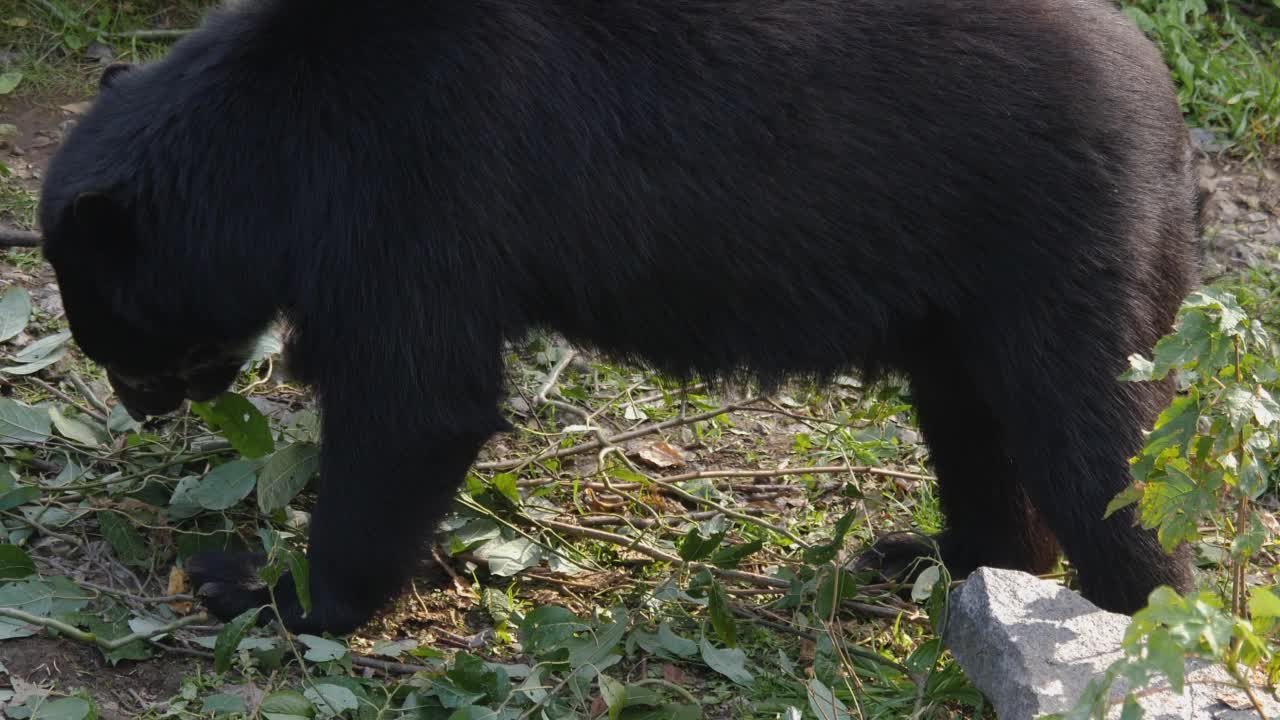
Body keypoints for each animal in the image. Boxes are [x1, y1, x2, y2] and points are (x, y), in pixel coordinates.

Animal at [37, 0, 1198, 630]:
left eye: (113, 328)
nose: (138, 407)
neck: (275, 140)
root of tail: (1166, 111)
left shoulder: (413, 192)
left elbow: (417, 399)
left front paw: (259, 590)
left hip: (1060, 250)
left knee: (1098, 448)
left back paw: (1136, 621)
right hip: (963, 293)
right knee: (975, 428)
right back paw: (942, 561)